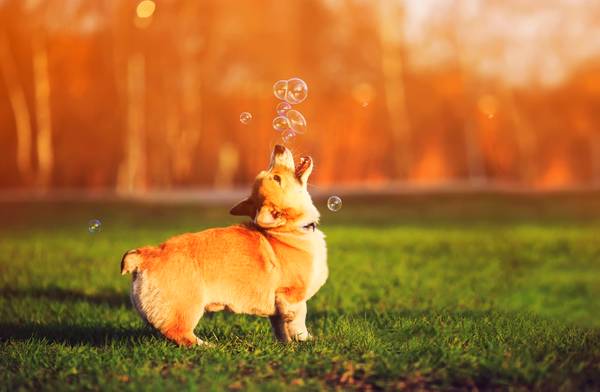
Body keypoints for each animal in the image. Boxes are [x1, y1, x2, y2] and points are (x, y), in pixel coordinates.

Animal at [120, 144, 328, 346]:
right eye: (277, 178)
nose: (278, 146)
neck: (291, 229)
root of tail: (146, 254)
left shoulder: (278, 308)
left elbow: (281, 327)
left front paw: (286, 344)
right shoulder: (292, 297)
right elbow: (298, 322)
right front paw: (306, 341)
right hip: (187, 307)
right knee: (179, 333)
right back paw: (207, 346)